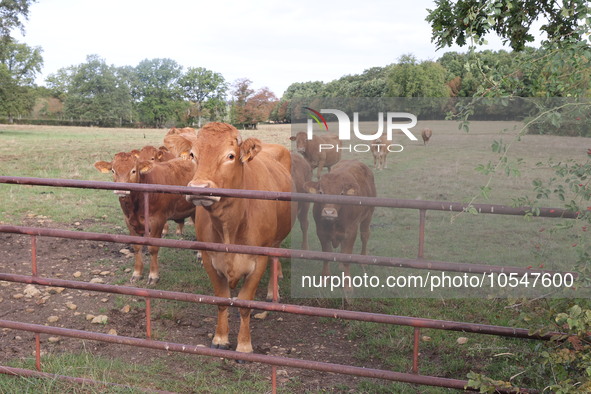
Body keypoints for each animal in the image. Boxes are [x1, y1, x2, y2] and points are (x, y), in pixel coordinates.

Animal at [95, 152, 197, 284]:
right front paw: (137, 273)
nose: (121, 189)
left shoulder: (157, 221)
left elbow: (152, 248)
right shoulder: (128, 221)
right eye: (113, 170)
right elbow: (137, 247)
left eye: (133, 171)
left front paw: (153, 275)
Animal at [308, 159, 376, 290]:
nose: (329, 212)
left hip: (368, 215)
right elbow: (326, 255)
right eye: (321, 192)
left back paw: (363, 261)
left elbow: (347, 256)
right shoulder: (321, 232)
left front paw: (347, 285)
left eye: (341, 193)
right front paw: (325, 279)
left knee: (365, 236)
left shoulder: (351, 232)